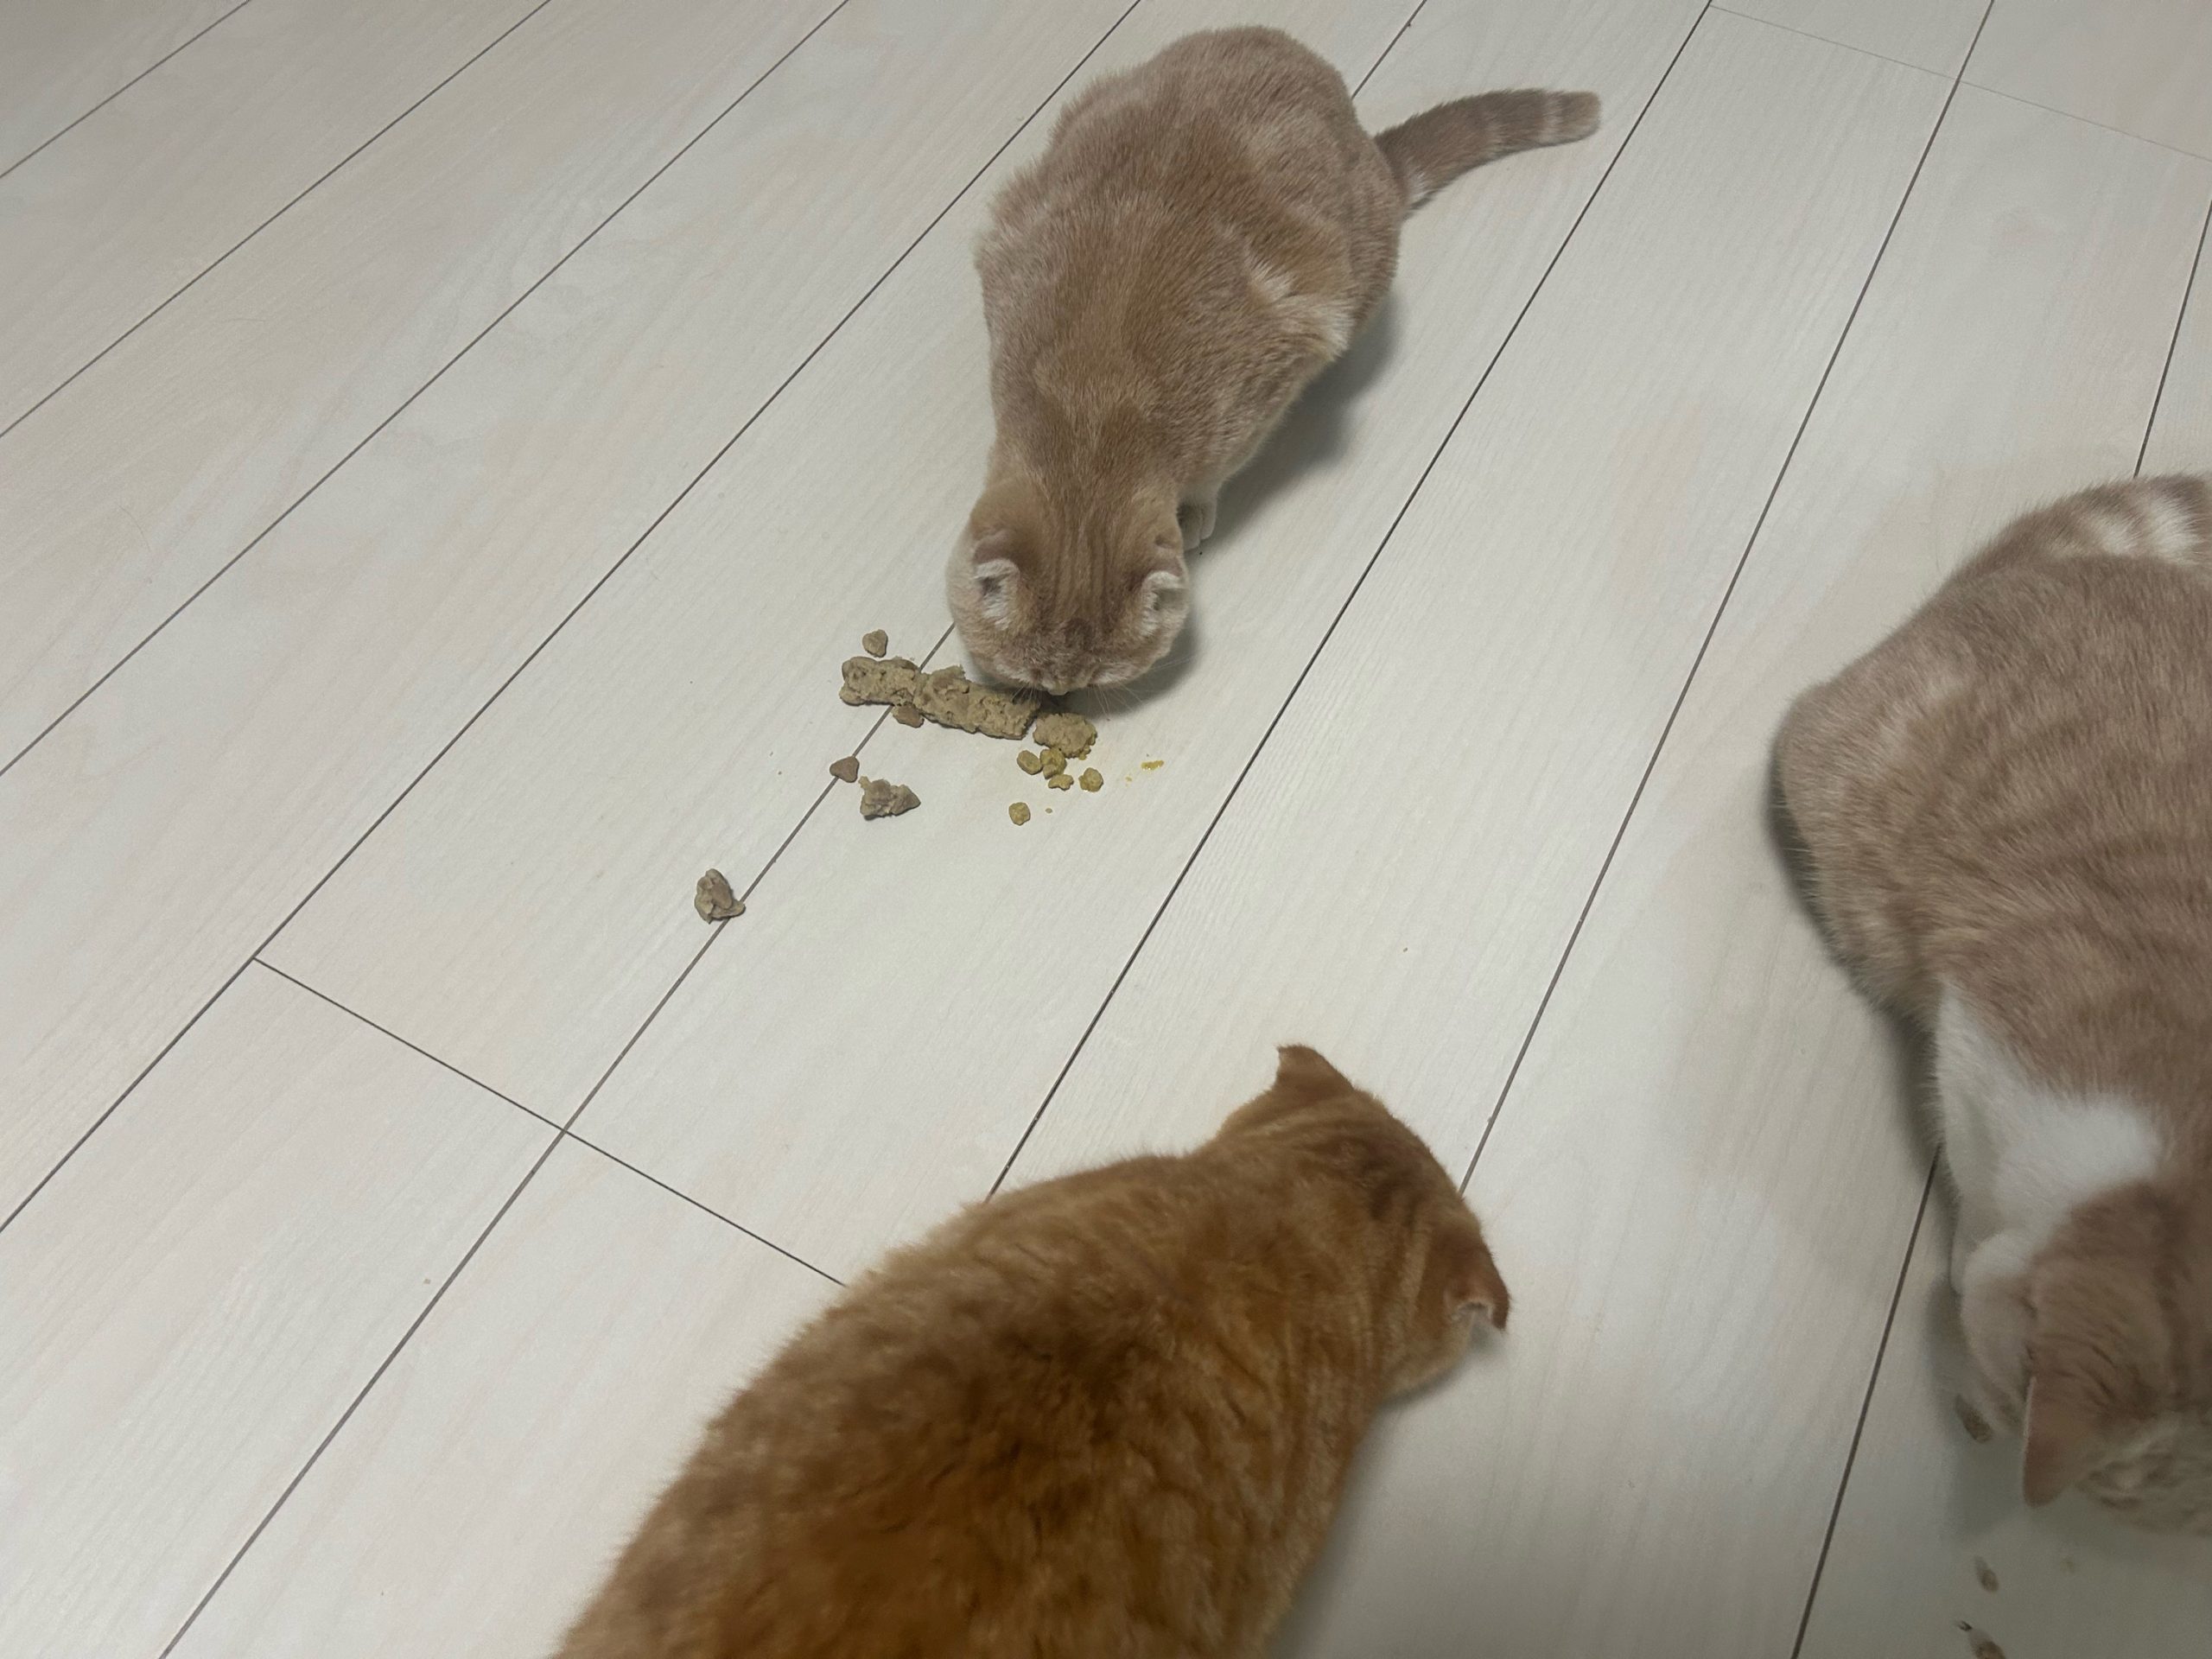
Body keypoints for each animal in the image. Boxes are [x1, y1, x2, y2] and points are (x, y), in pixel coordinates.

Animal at [949, 26, 1599, 693]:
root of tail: (1366, 145)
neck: (1091, 408)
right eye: (1028, 668)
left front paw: (1196, 509)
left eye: (1101, 676)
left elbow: (1213, 477)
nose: (1060, 694)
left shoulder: (1261, 397)